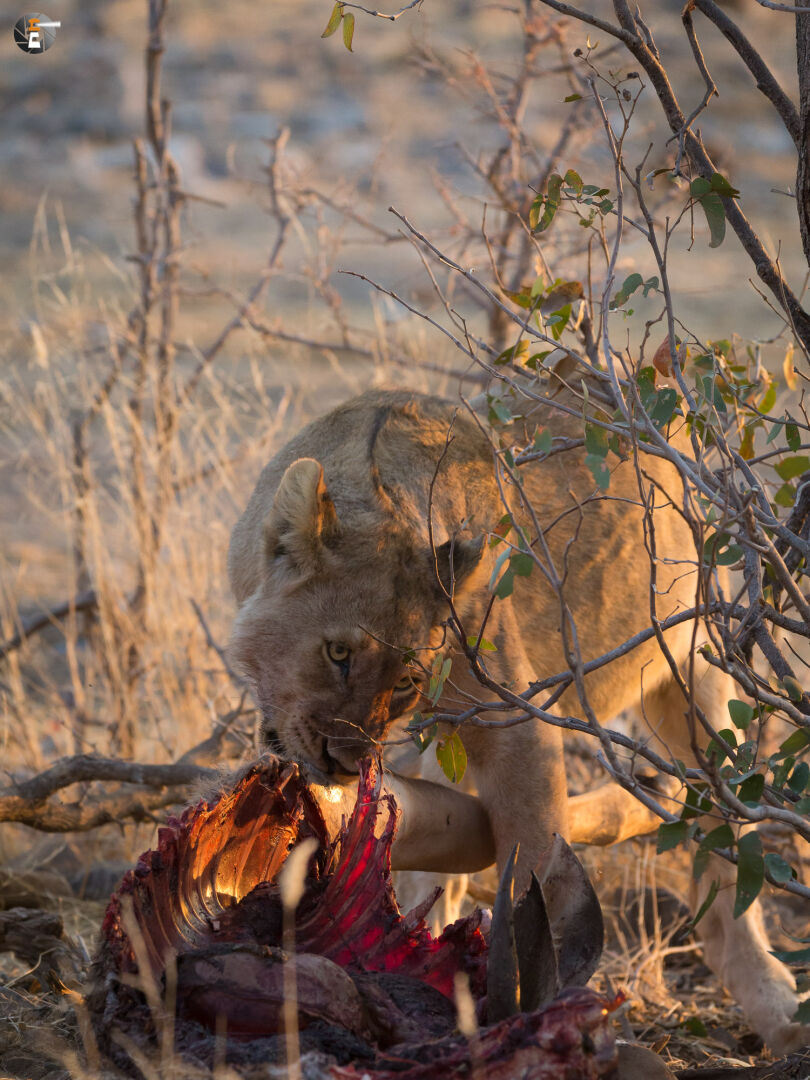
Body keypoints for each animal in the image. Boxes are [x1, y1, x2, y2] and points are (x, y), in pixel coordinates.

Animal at [228, 387, 809, 1053]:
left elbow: (533, 857)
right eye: (339, 653)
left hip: (694, 671)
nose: (346, 765)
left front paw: (528, 999)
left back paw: (773, 1002)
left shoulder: (512, 717)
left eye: (405, 682)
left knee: (722, 838)